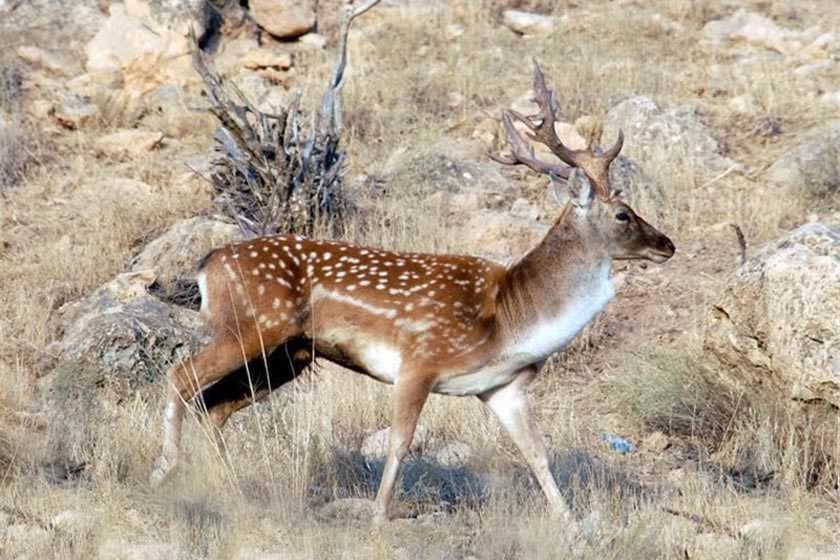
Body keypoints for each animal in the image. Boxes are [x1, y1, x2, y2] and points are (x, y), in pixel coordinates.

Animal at [151, 62, 676, 524]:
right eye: (624, 213)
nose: (667, 244)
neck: (511, 319)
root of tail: (207, 264)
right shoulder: (418, 361)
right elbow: (401, 442)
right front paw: (379, 516)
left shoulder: (503, 387)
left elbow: (538, 454)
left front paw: (571, 523)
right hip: (252, 325)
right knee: (181, 375)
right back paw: (166, 467)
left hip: (288, 354)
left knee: (214, 408)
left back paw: (233, 493)